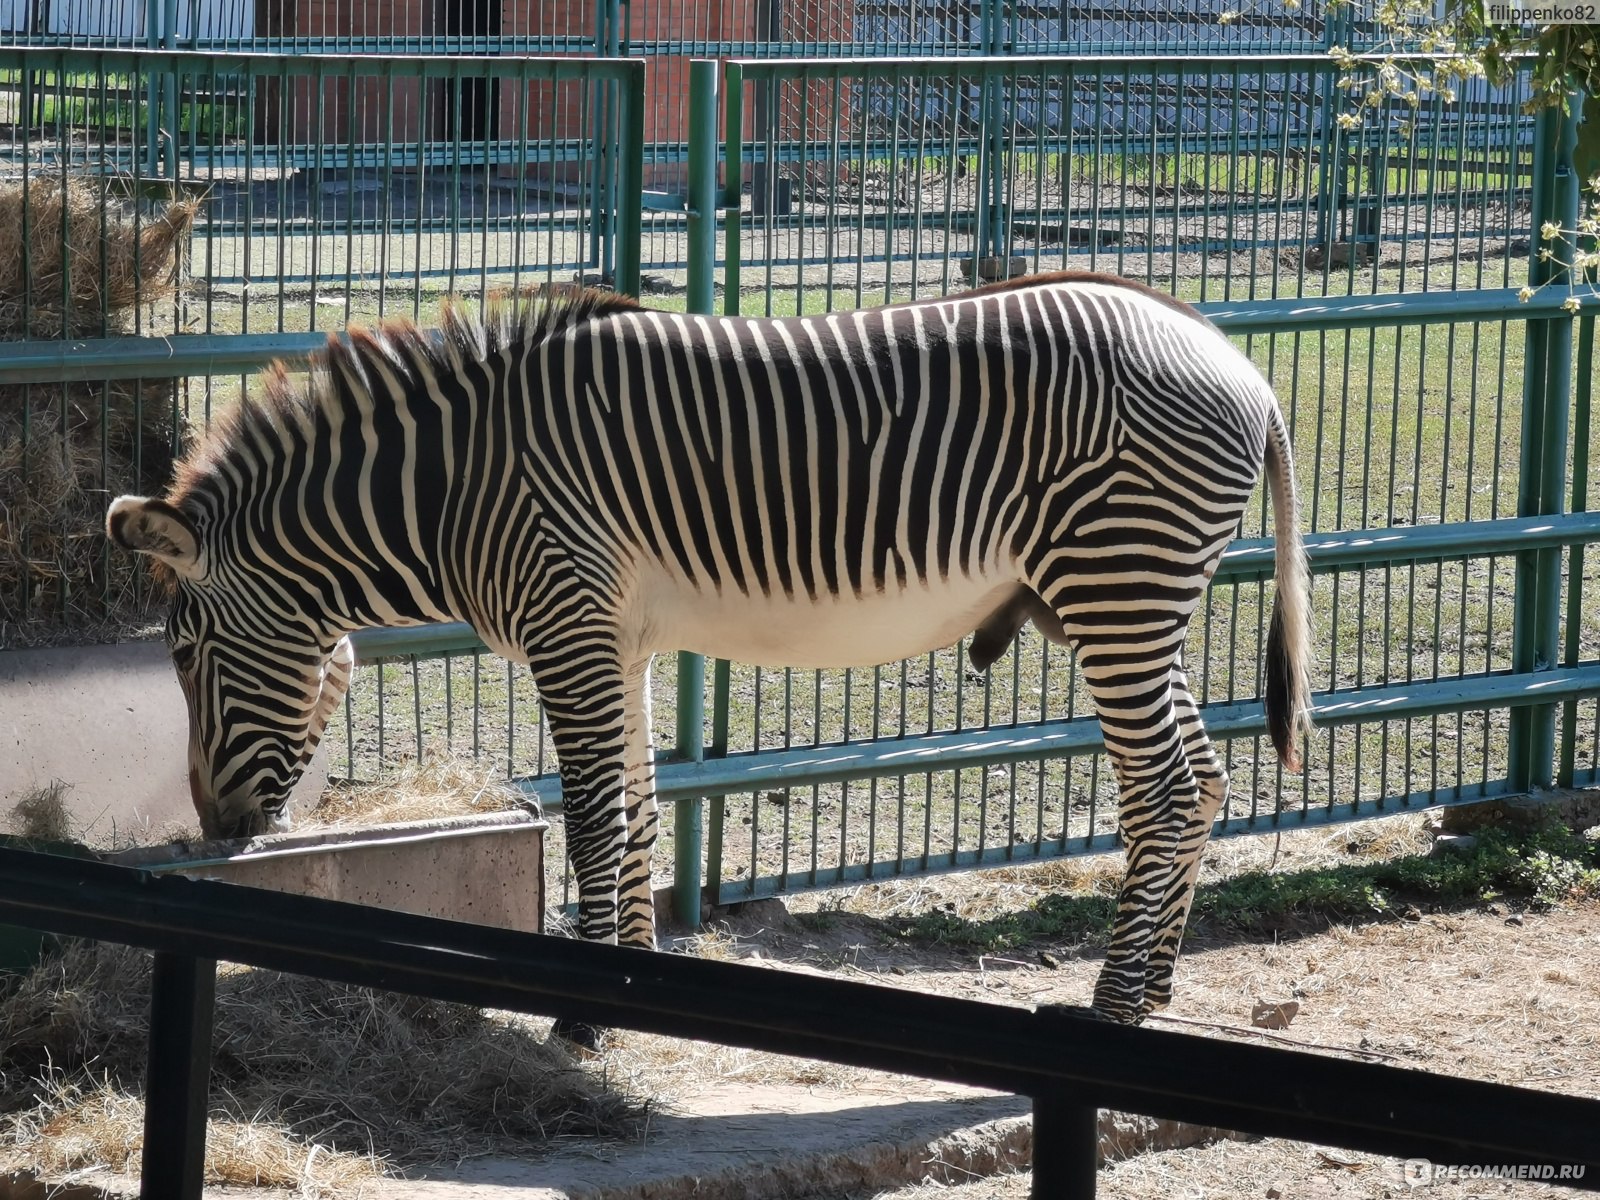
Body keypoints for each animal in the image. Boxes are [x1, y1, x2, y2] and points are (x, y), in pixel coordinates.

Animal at [109, 275, 1312, 1036]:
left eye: (185, 650)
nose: (214, 828)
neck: (452, 488)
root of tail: (1244, 370)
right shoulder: (616, 635)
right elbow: (638, 811)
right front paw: (638, 986)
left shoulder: (567, 619)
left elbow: (595, 822)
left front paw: (585, 1020)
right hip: (1145, 598)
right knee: (1202, 780)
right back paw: (1153, 990)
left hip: (1115, 579)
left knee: (1164, 789)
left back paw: (1110, 1011)